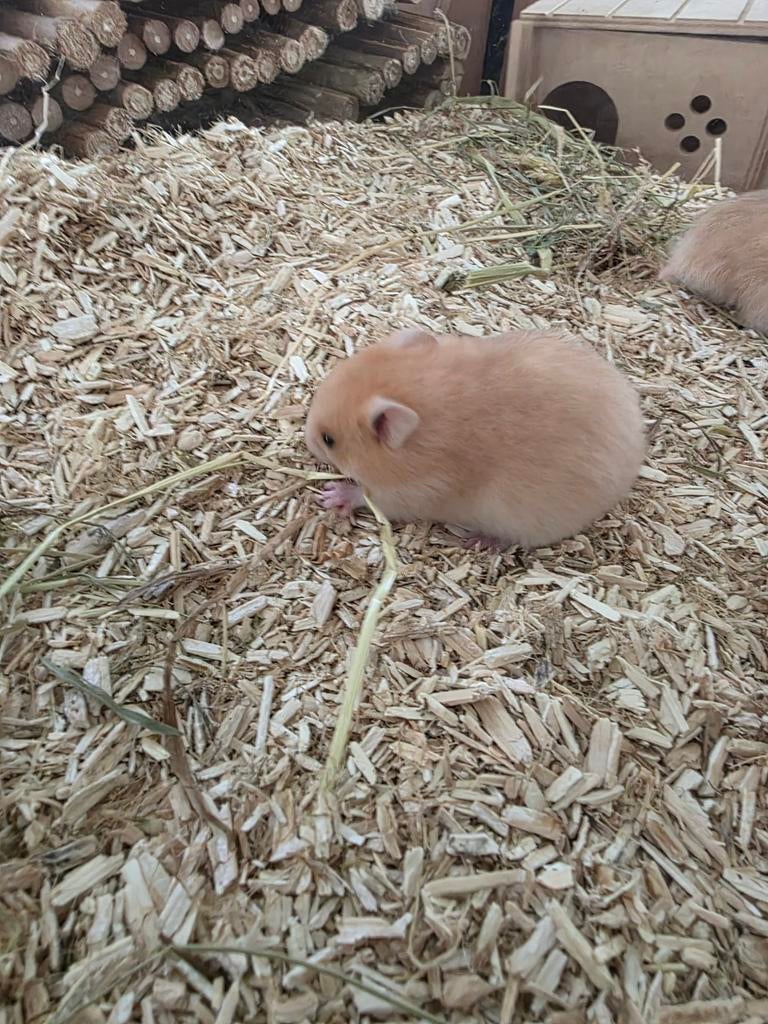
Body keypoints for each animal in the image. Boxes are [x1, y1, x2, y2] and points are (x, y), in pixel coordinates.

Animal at [305, 328, 646, 550]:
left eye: (328, 439)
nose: (306, 439)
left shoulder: (416, 491)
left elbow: (367, 496)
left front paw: (330, 495)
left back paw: (480, 541)